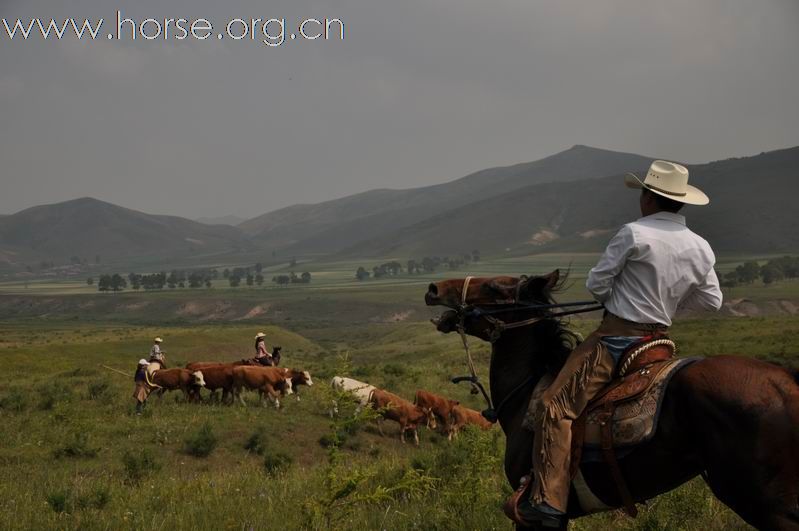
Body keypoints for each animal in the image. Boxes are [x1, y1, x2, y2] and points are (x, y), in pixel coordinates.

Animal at [424, 272, 799, 528]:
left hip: (765, 504)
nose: (434, 289)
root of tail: (787, 382)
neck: (527, 394)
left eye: (493, 287)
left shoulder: (533, 516)